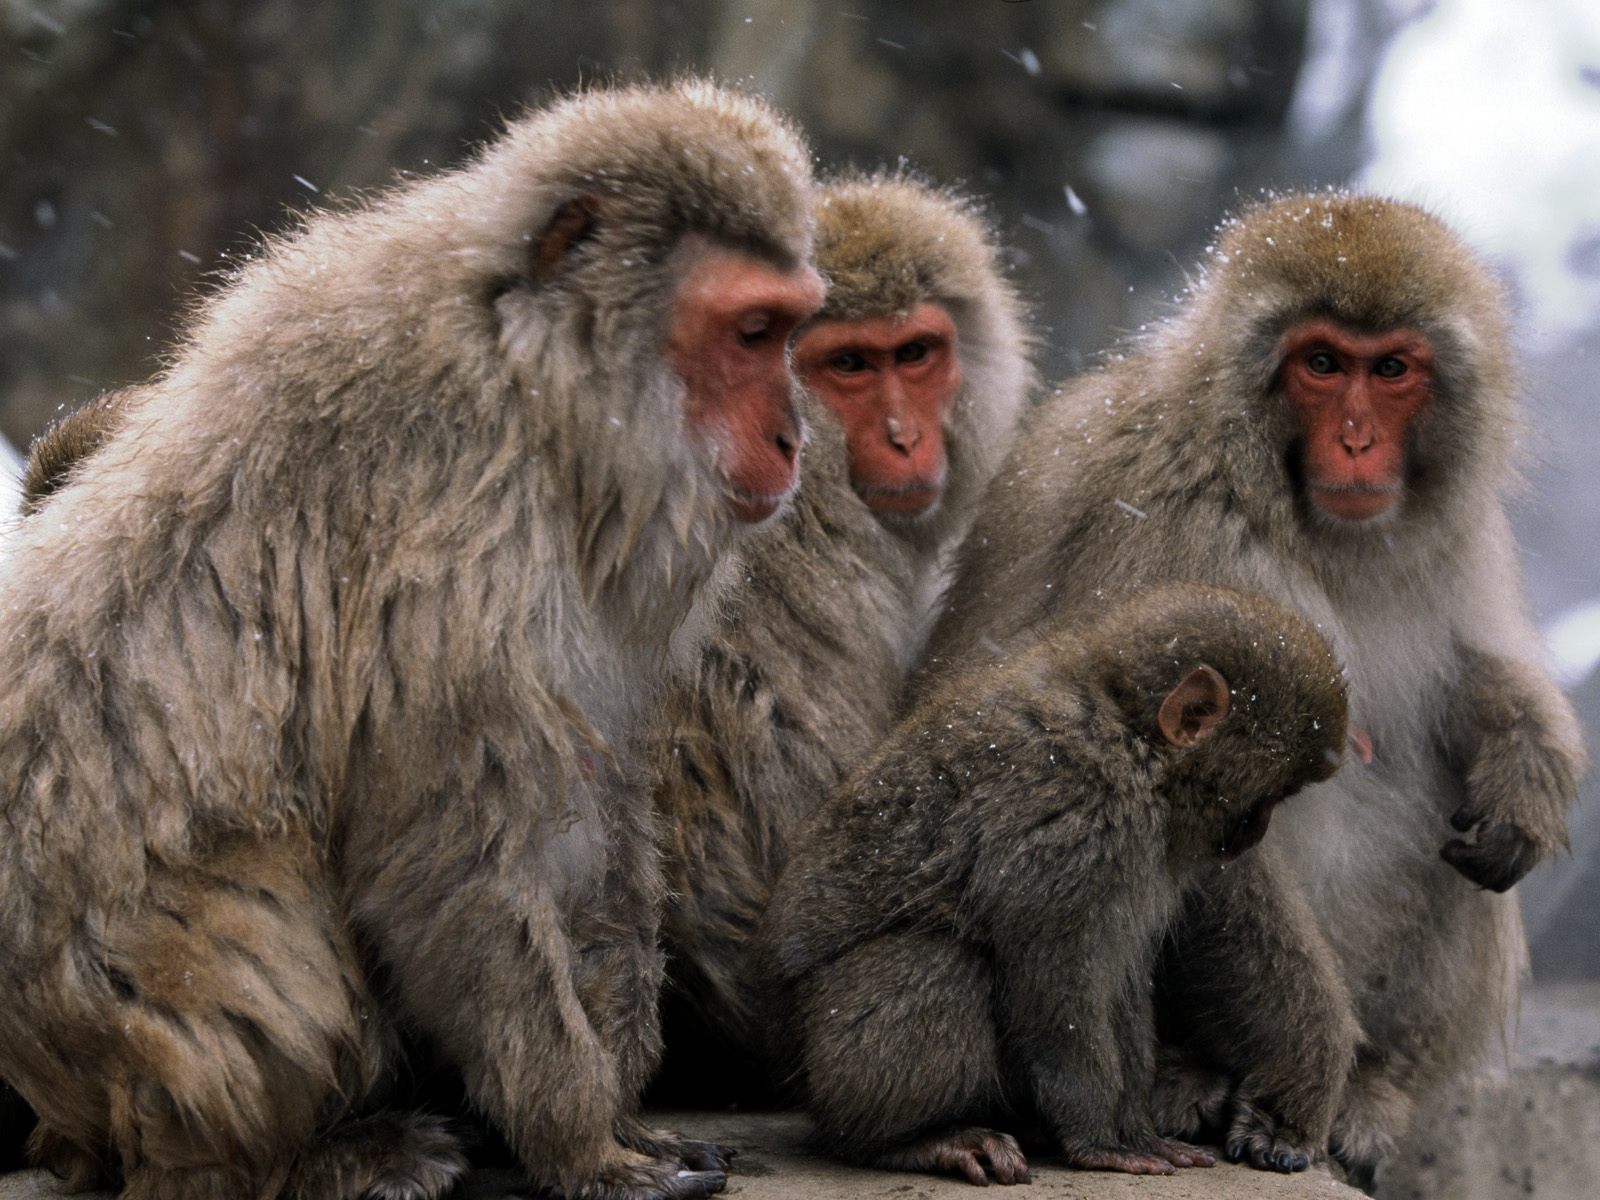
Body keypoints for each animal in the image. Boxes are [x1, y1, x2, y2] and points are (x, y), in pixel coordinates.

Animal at [0, 79, 825, 1200]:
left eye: (788, 330)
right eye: (750, 332)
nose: (793, 436)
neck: (532, 375)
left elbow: (595, 789)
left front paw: (616, 1103)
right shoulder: (459, 530)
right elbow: (452, 840)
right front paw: (578, 1137)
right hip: (113, 1029)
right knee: (262, 939)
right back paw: (310, 1157)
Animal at [758, 583, 1349, 1185]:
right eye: (1268, 798)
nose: (1257, 833)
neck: (1131, 735)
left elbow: (1118, 974)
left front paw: (1135, 1128)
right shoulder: (1077, 821)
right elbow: (1055, 982)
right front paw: (1098, 1138)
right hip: (829, 1062)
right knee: (937, 961)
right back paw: (904, 1140)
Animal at [916, 190, 1587, 1181]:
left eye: (1391, 368)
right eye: (1321, 364)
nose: (1356, 440)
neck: (1298, 515)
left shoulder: (1455, 537)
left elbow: (1474, 675)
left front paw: (1527, 775)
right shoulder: (1179, 524)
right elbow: (1204, 808)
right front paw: (1302, 1074)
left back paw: (1375, 1087)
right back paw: (1202, 1076)